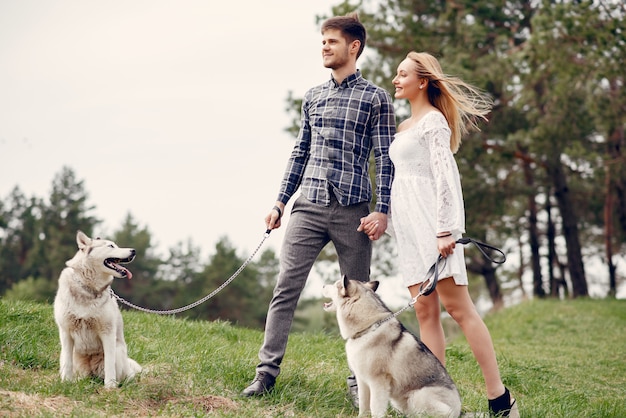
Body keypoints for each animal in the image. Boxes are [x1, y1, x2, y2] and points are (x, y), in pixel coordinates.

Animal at [53, 230, 142, 386]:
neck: (88, 289)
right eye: (111, 246)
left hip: (118, 353)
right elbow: (67, 364)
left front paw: (110, 386)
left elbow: (109, 364)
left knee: (126, 374)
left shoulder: (107, 332)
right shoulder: (65, 332)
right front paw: (66, 383)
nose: (134, 251)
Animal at [324, 276, 460, 416]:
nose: (323, 286)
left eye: (336, 285)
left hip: (419, 396)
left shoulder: (378, 382)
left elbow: (375, 406)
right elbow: (363, 404)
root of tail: (458, 409)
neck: (368, 329)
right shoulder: (362, 381)